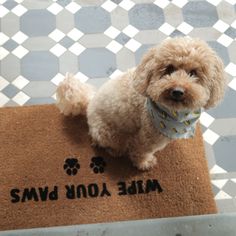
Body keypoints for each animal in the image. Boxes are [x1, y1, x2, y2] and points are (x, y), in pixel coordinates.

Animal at [56, 37, 226, 170]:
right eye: (169, 69)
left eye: (193, 73)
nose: (177, 91)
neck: (173, 115)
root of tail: (90, 104)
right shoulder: (148, 137)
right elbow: (141, 151)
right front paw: (144, 163)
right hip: (110, 134)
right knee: (109, 143)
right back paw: (115, 150)